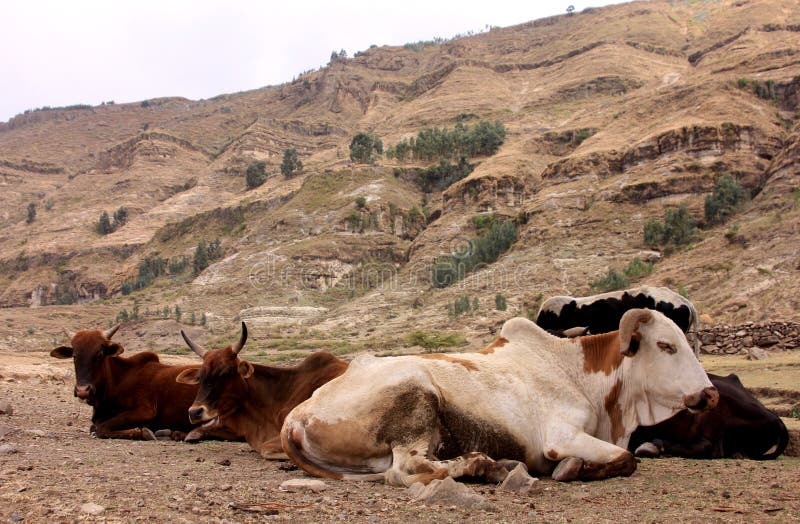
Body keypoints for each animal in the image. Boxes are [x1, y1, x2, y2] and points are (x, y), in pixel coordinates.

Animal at [50, 325, 239, 441]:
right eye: (75, 355)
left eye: (100, 354)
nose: (83, 390)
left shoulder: (144, 411)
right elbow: (94, 427)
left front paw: (143, 432)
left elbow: (101, 428)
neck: (117, 380)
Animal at [281, 309, 718, 486]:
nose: (711, 394)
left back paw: (498, 465)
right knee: (405, 470)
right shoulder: (563, 437)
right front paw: (570, 469)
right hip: (417, 396)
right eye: (665, 346)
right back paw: (483, 465)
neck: (574, 372)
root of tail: (296, 417)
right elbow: (626, 460)